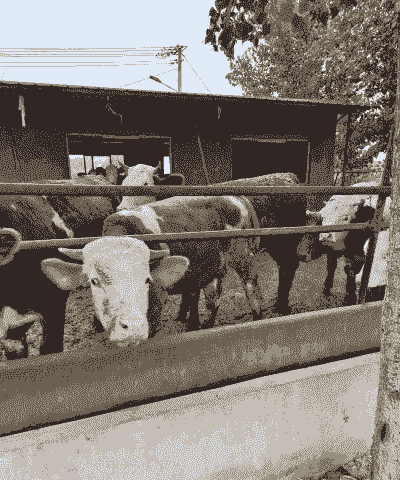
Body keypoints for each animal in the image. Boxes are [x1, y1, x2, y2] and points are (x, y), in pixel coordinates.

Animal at [41, 172, 313, 345]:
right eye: (94, 281)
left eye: (147, 280)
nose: (131, 326)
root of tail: (237, 198)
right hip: (214, 266)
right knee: (213, 299)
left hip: (244, 258)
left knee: (253, 289)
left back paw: (259, 318)